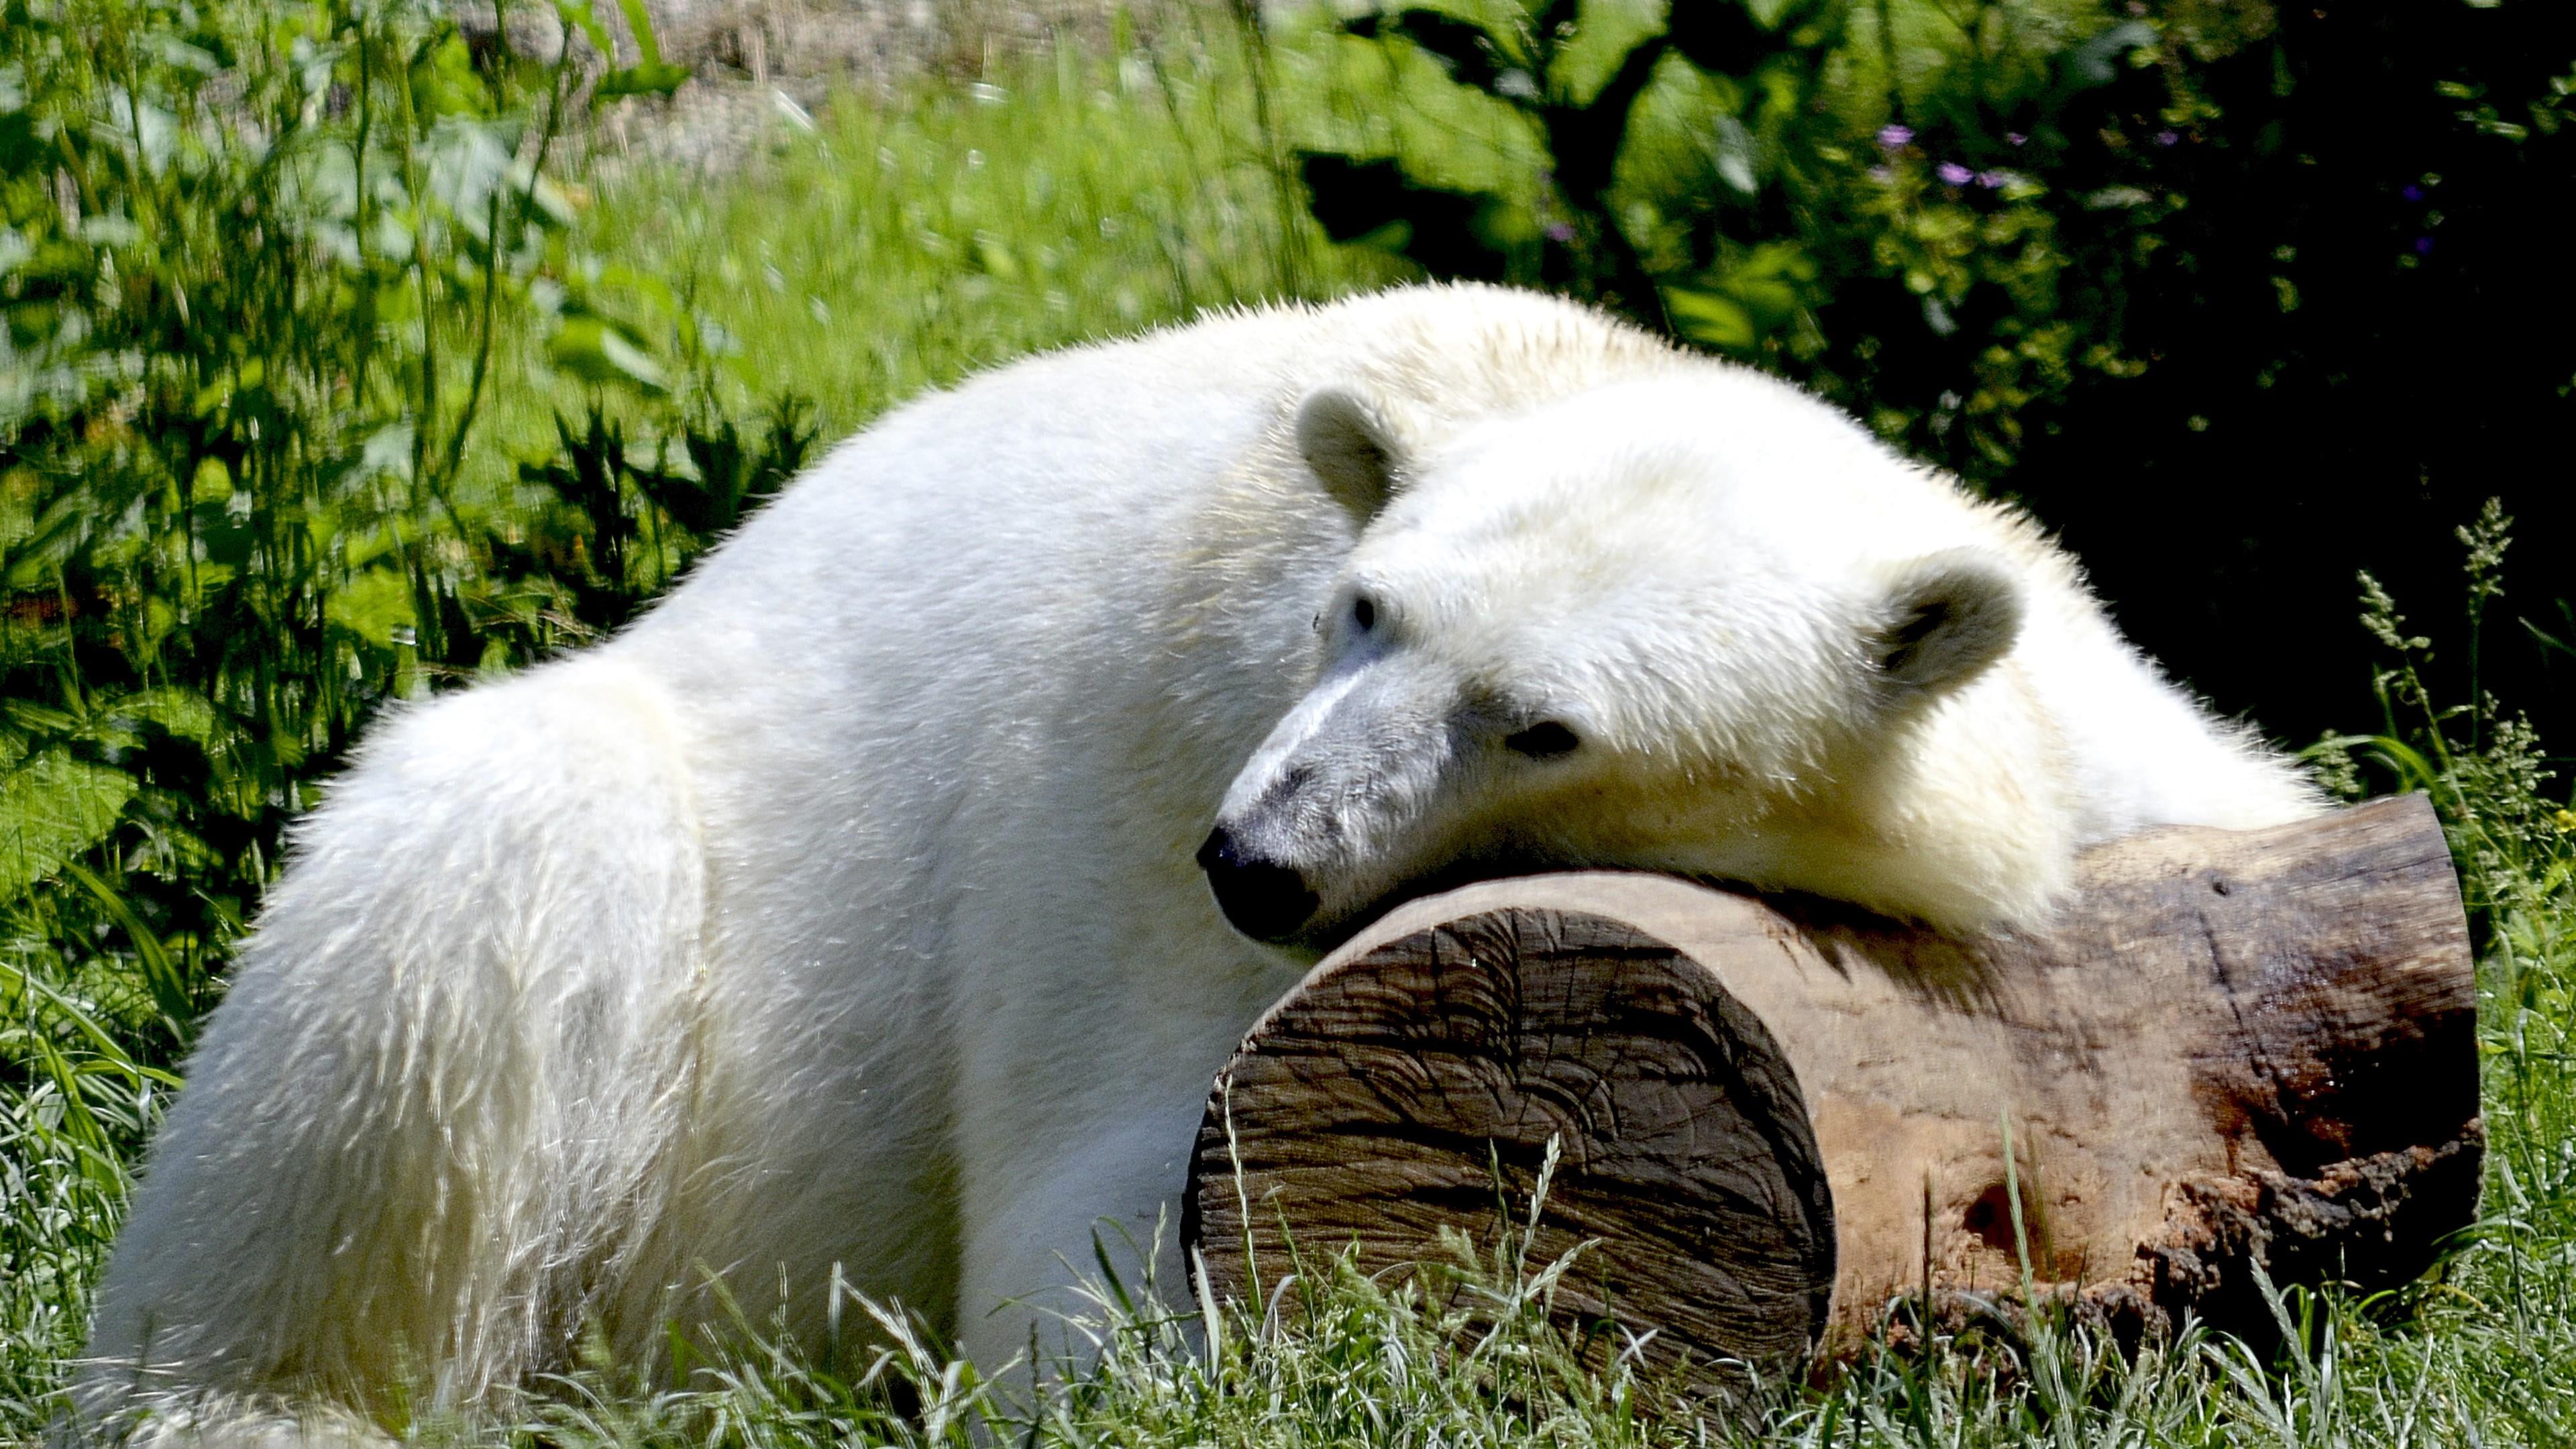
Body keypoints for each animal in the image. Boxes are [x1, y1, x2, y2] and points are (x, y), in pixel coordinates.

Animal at [75, 283, 2319, 1442]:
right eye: (1364, 612)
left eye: (1545, 723)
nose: (1257, 861)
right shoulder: (1151, 774)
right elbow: (1102, 1227)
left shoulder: (2114, 753)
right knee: (481, 882)